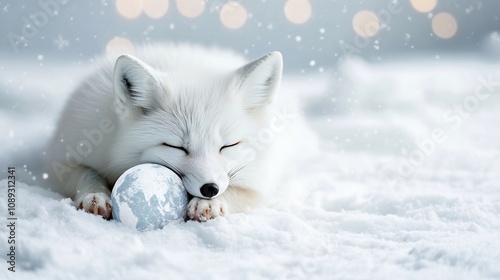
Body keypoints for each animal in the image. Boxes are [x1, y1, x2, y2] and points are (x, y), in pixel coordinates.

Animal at [47, 44, 290, 222]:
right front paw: (95, 195)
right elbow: (87, 173)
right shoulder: (65, 157)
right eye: (177, 147)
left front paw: (210, 204)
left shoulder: (262, 180)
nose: (210, 189)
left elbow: (242, 192)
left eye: (228, 146)